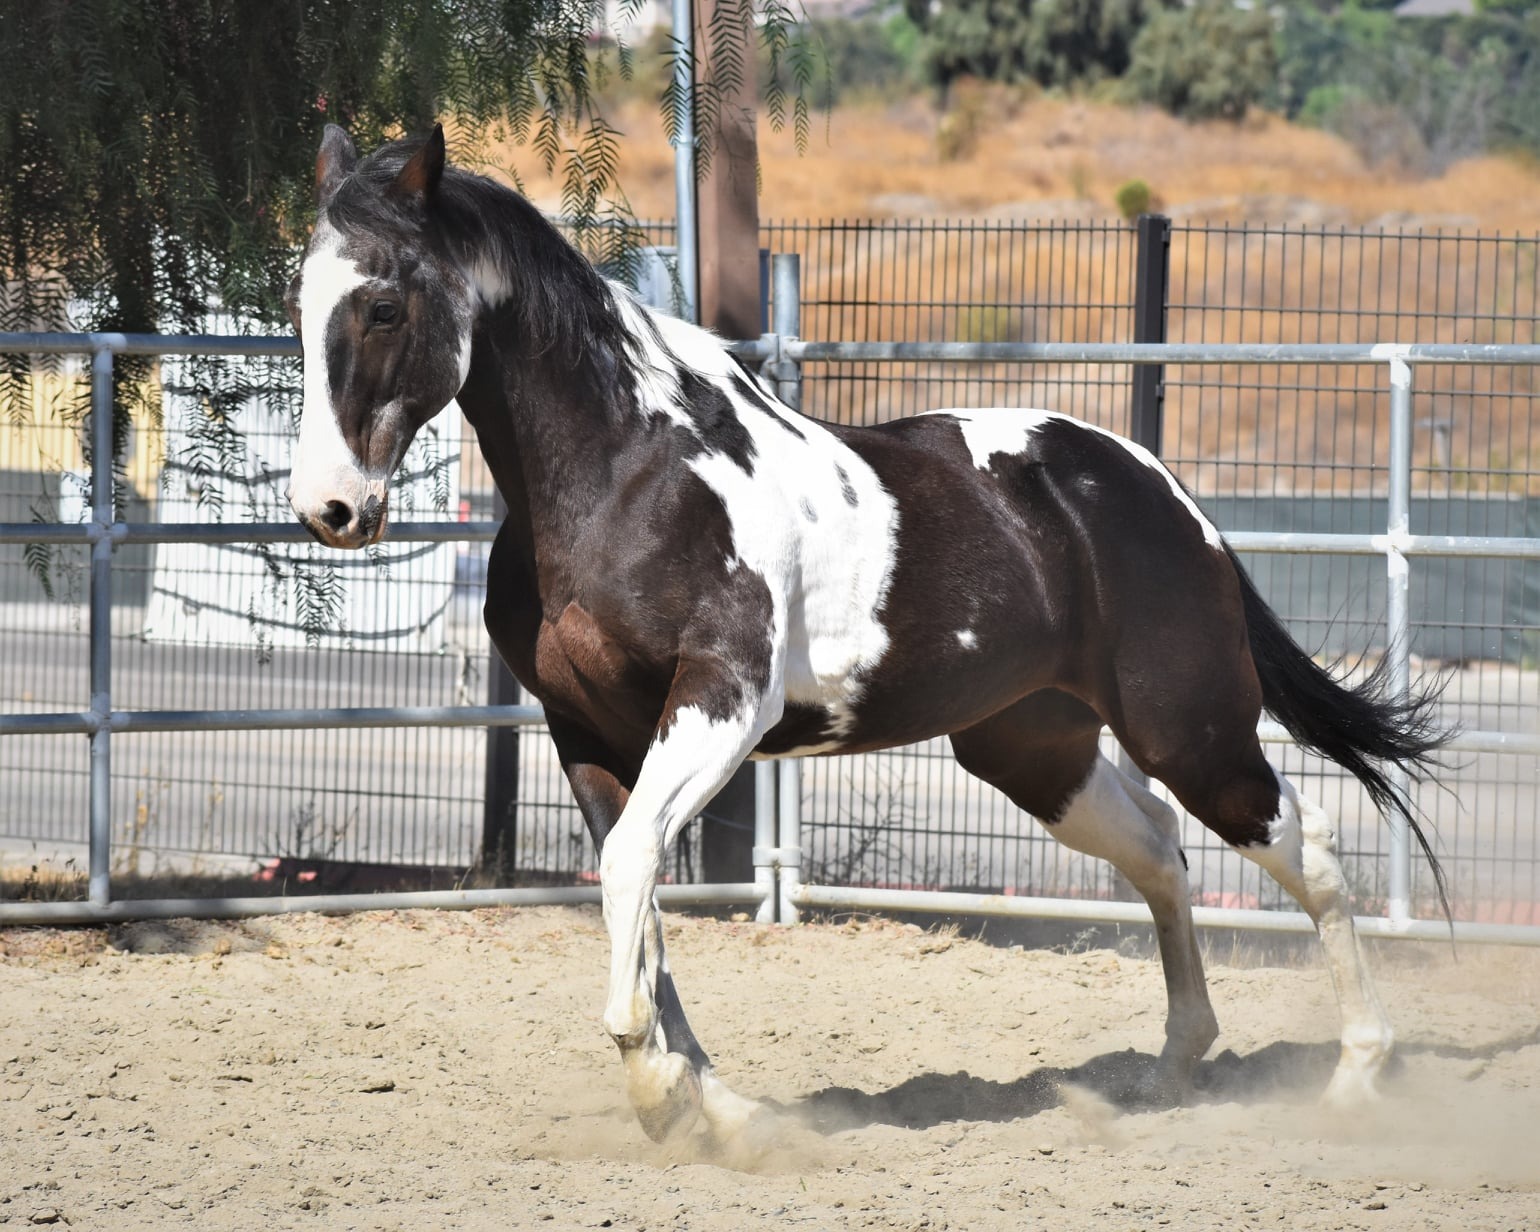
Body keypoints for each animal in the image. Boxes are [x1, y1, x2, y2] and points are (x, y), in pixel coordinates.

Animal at [284, 124, 1449, 1146]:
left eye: (383, 303)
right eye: (299, 303)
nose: (330, 508)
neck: (628, 475)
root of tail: (1165, 493)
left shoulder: (721, 702)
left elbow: (631, 872)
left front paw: (659, 1089)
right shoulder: (586, 730)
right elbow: (637, 891)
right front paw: (710, 1102)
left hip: (1191, 727)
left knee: (1307, 846)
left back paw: (1357, 1073)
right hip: (1036, 748)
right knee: (1160, 848)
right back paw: (1173, 1064)